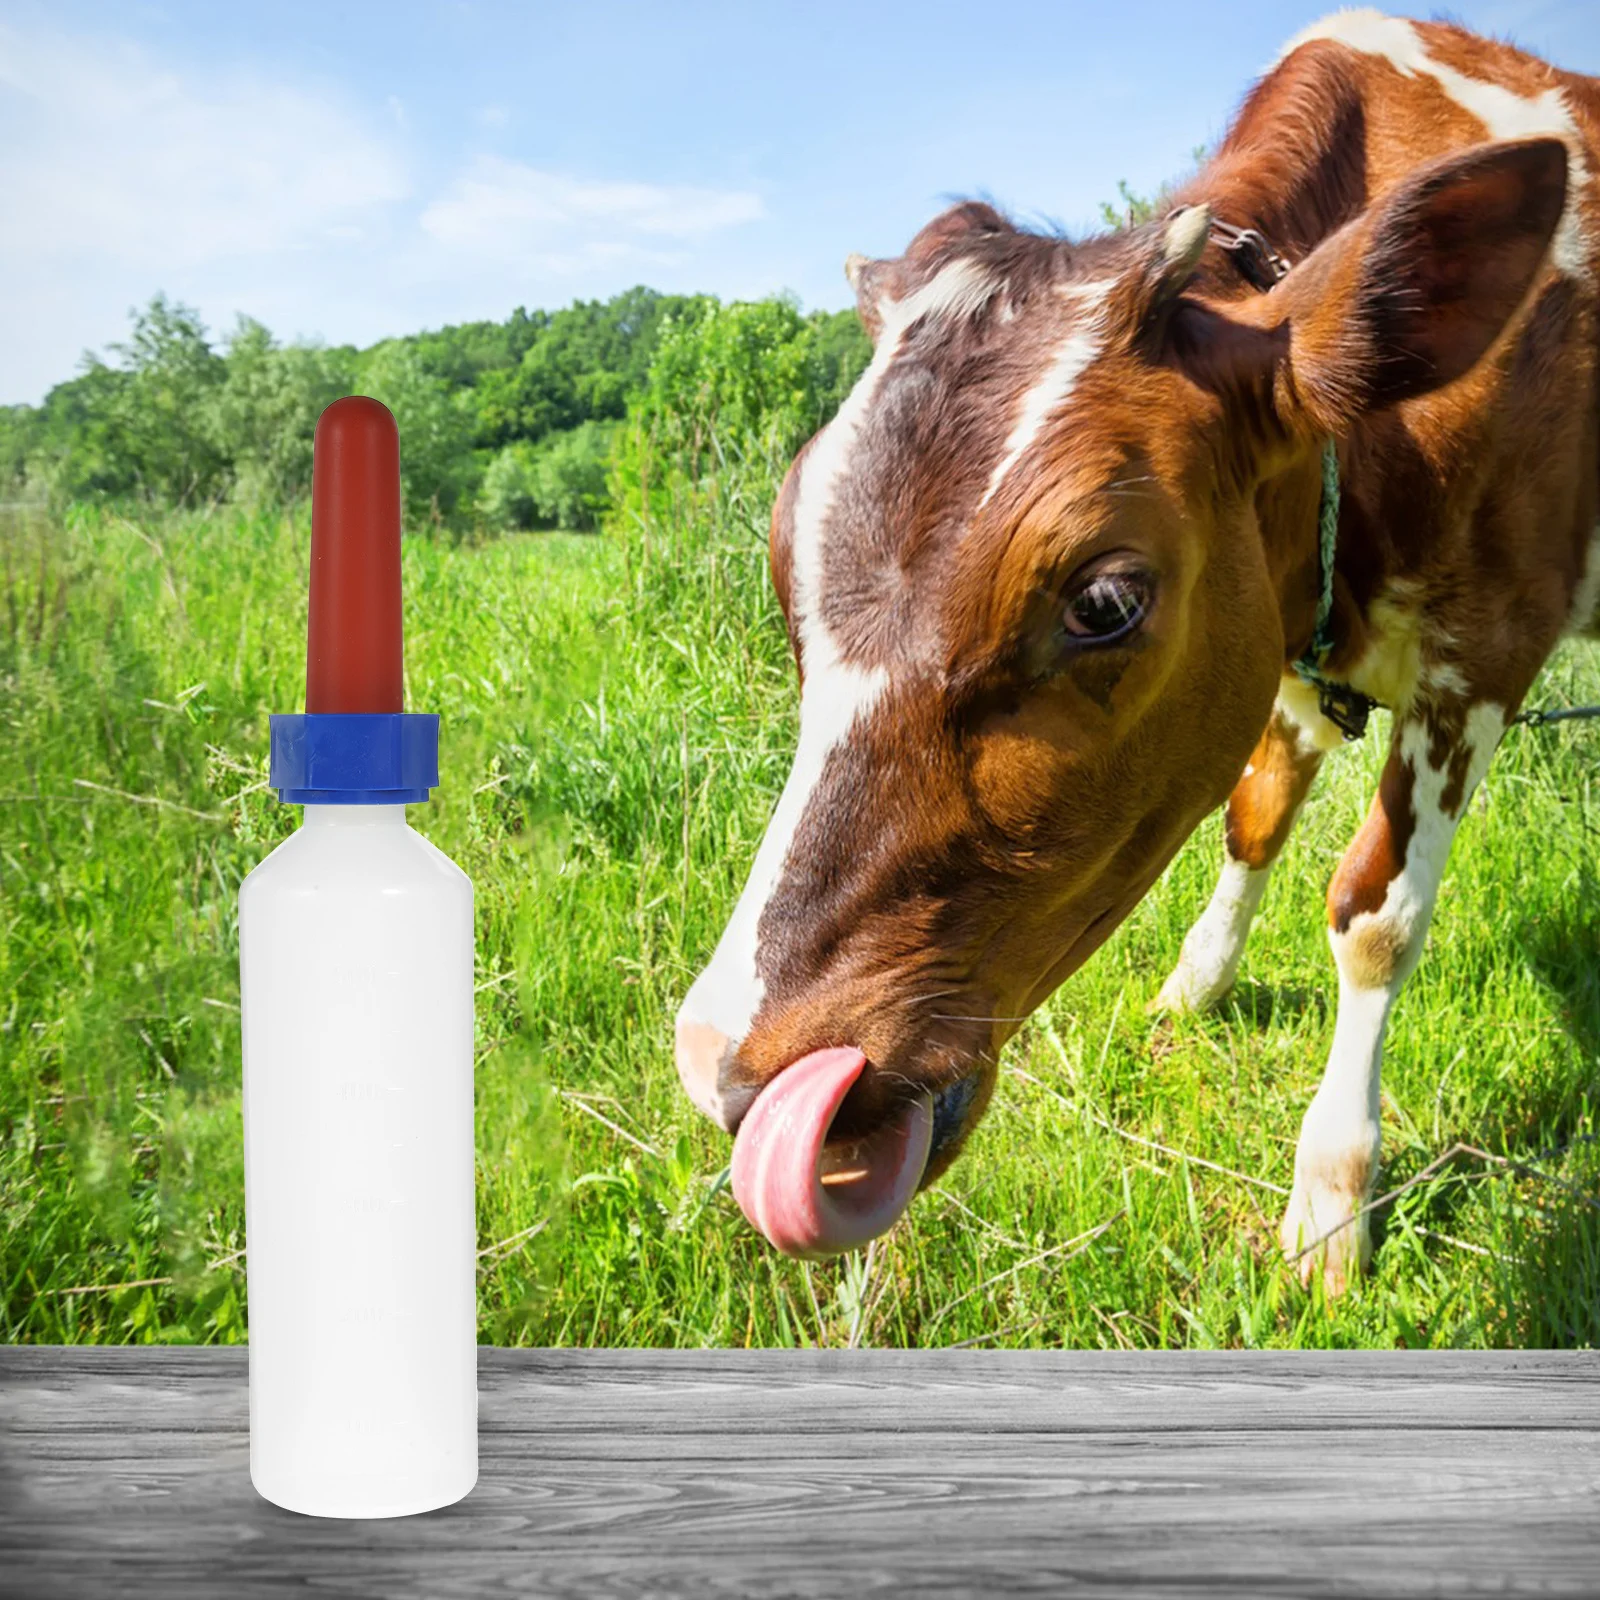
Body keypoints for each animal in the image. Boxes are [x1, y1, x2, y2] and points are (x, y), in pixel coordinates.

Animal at [673, 10, 1599, 1294]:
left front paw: (1331, 1196)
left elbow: (1373, 917)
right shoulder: (1276, 628)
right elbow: (1252, 814)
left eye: (1105, 599)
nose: (728, 1061)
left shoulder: (1484, 655)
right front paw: (1194, 986)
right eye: (781, 557)